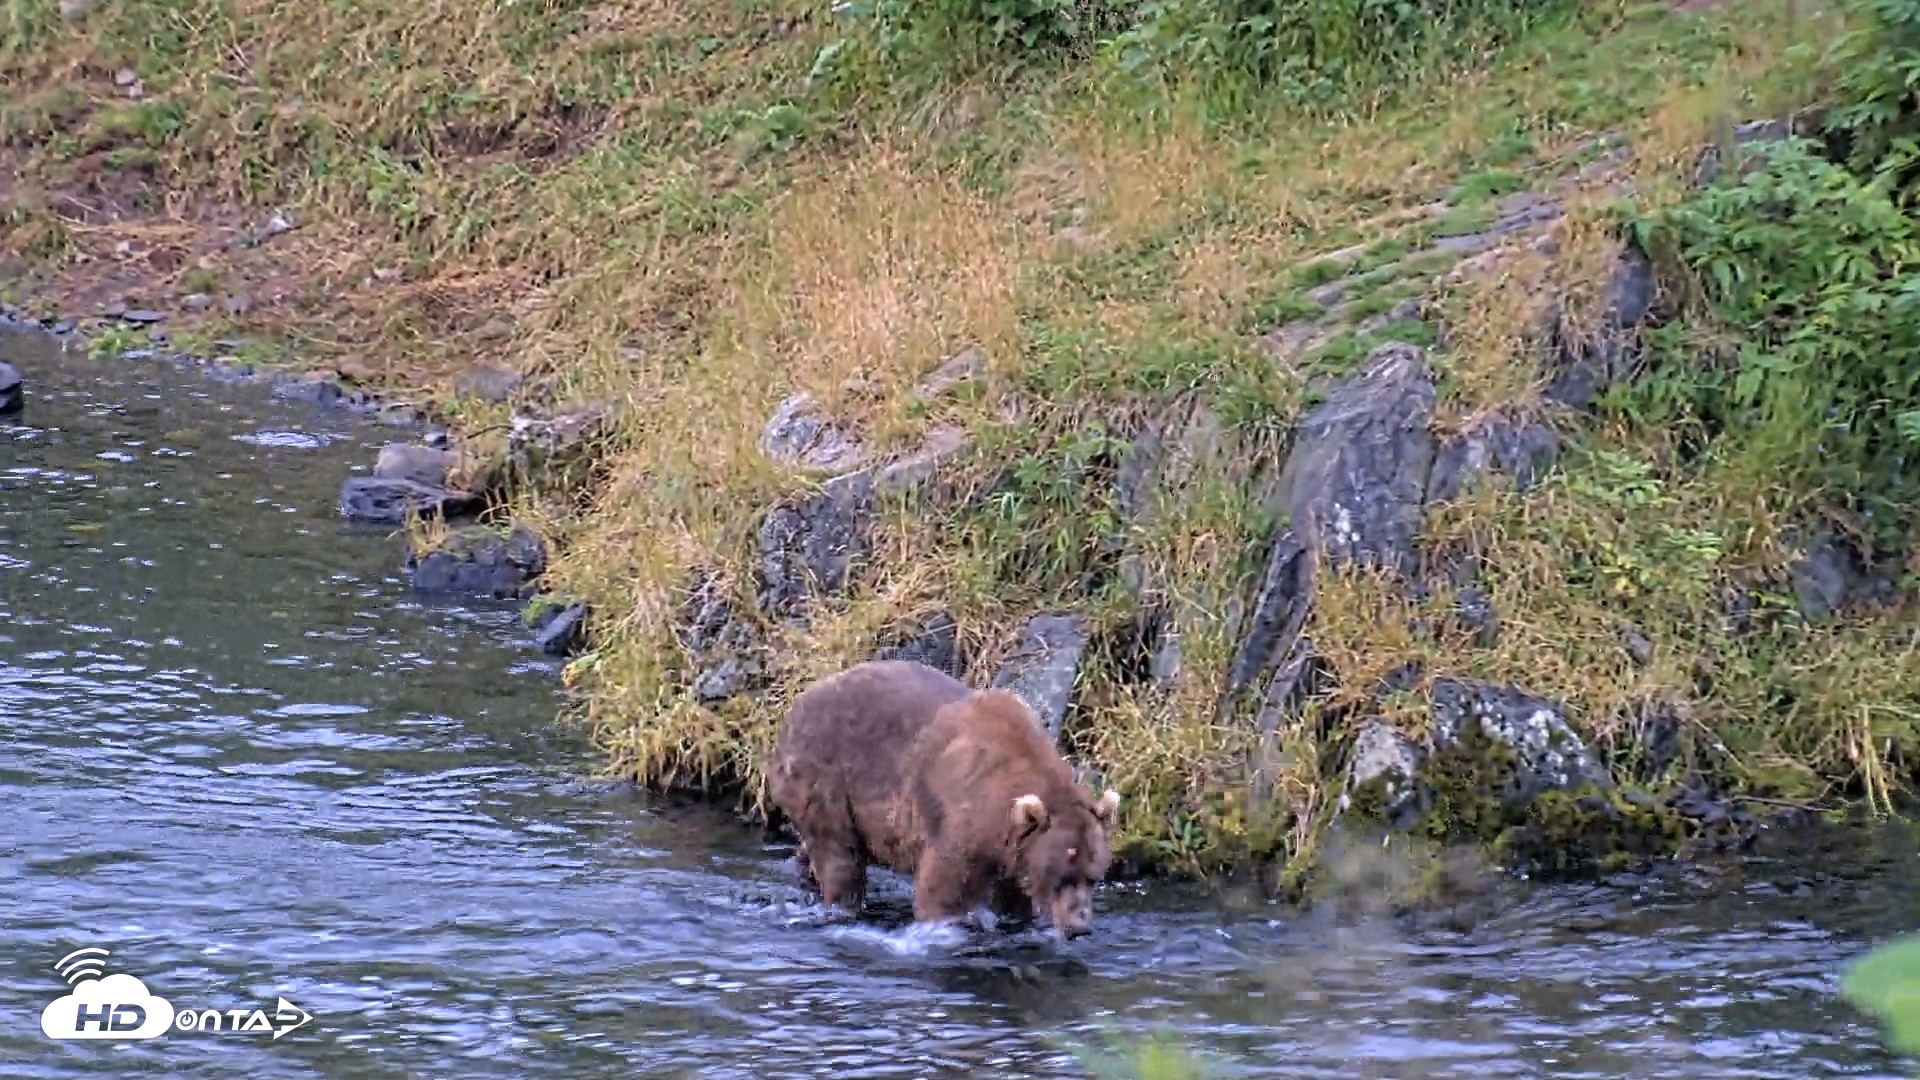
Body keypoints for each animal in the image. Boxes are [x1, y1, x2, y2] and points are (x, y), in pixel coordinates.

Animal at [768, 658, 1123, 941]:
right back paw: (843, 907)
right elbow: (943, 887)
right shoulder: (959, 818)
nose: (1080, 927)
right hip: (826, 776)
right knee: (839, 854)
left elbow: (1012, 897)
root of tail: (792, 707)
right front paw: (944, 924)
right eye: (1062, 876)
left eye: (1093, 876)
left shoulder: (1013, 848)